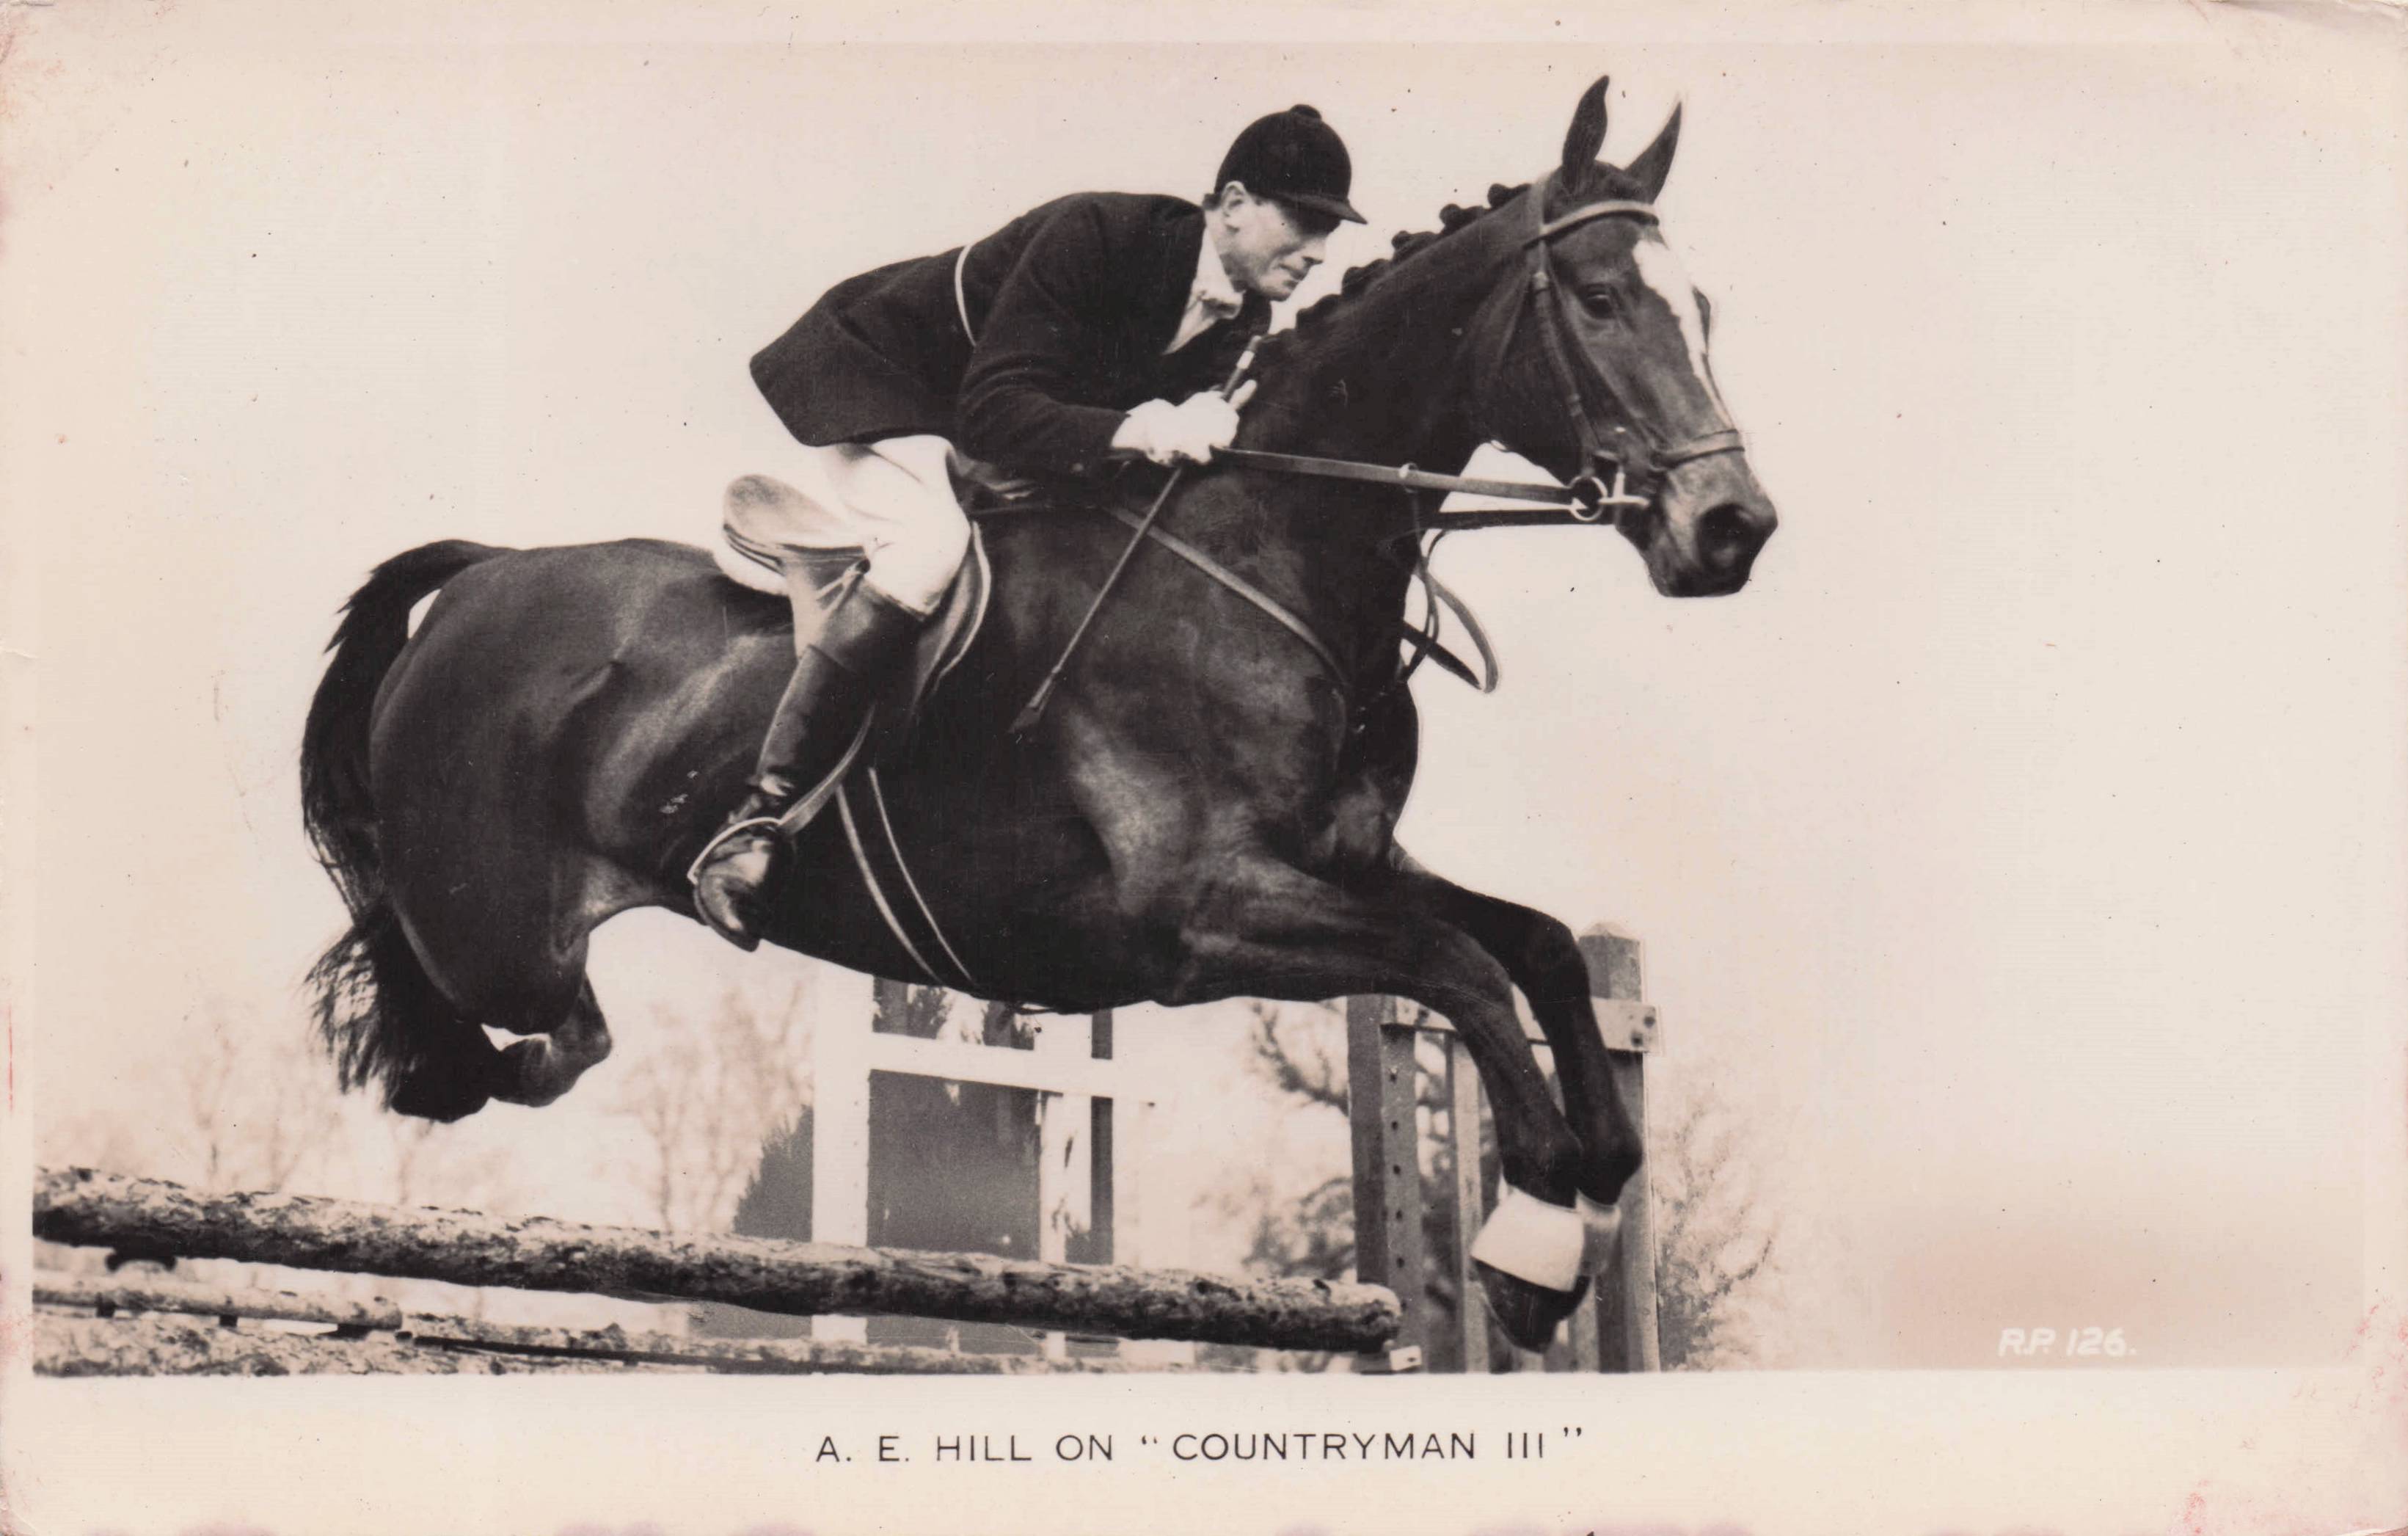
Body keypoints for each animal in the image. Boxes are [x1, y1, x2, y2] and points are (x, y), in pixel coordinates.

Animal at [297, 77, 1777, 1350]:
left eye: (1702, 304)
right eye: (1598, 299)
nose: (1732, 529)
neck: (1274, 552)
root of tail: (484, 573)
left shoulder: (1345, 864)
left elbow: (1534, 948)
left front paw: (1570, 1215)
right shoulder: (1204, 913)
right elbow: (1459, 967)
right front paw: (1533, 1233)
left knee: (549, 1037)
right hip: (496, 929)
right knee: (459, 1002)